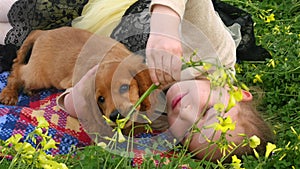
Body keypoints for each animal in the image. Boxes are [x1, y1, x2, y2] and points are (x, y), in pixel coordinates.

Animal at [0, 27, 155, 131]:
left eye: (124, 87)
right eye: (101, 99)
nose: (115, 116)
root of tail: (43, 32)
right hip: (37, 74)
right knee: (17, 71)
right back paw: (9, 94)